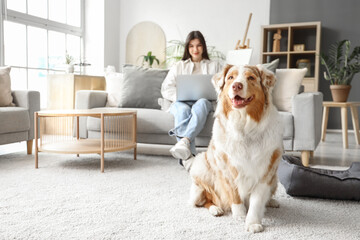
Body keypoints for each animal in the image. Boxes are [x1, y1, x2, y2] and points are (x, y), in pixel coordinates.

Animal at [187, 64, 282, 232]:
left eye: (251, 78)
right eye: (230, 77)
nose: (236, 85)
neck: (245, 126)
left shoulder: (267, 170)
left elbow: (257, 201)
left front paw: (253, 222)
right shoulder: (226, 167)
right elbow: (234, 194)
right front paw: (240, 215)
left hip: (275, 179)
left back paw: (272, 202)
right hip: (200, 166)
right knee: (205, 200)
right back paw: (216, 209)